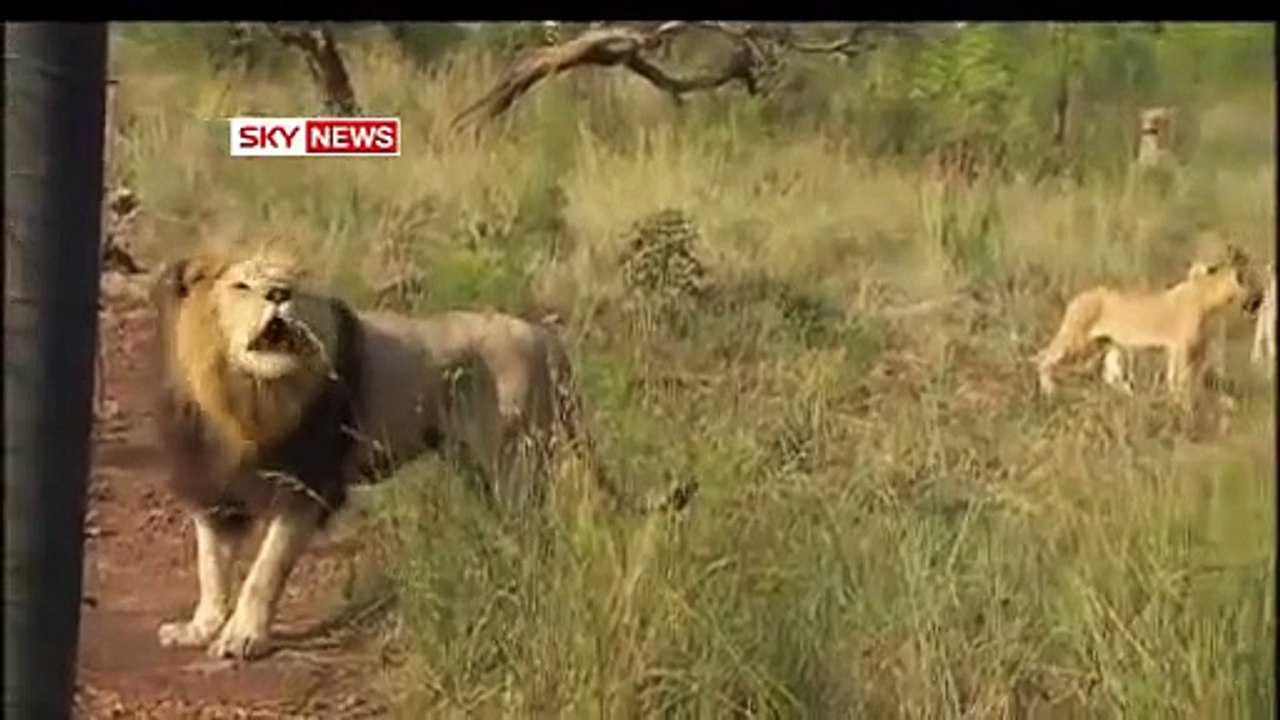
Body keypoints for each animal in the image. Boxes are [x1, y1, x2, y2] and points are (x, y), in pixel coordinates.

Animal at [149, 248, 506, 661]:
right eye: (241, 286)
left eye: (289, 285)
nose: (278, 294)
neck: (247, 401)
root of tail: (541, 336)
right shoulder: (212, 487)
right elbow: (210, 567)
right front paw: (199, 628)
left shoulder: (306, 487)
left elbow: (265, 570)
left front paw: (243, 636)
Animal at [1034, 245, 1267, 414]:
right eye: (1254, 278)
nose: (1262, 297)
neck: (1212, 297)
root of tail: (1077, 298)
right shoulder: (1183, 347)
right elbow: (1181, 381)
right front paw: (1185, 411)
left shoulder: (1191, 350)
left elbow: (1192, 380)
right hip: (1076, 340)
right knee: (1042, 357)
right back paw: (1049, 393)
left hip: (1103, 344)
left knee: (1110, 375)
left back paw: (1131, 398)